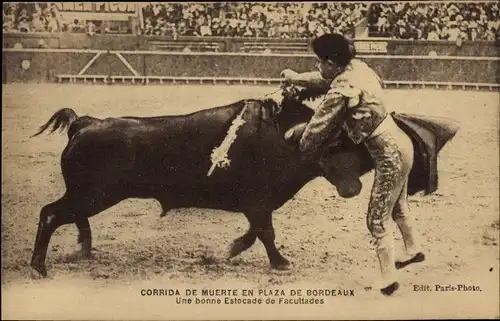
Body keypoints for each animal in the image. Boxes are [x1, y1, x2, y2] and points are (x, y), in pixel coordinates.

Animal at [28, 94, 458, 276]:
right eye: (348, 143)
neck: (285, 137)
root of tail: (85, 122)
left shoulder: (256, 205)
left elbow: (255, 233)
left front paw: (227, 252)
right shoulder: (258, 202)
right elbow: (265, 233)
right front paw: (280, 263)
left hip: (89, 196)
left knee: (69, 216)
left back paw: (82, 249)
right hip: (94, 194)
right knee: (51, 214)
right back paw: (39, 266)